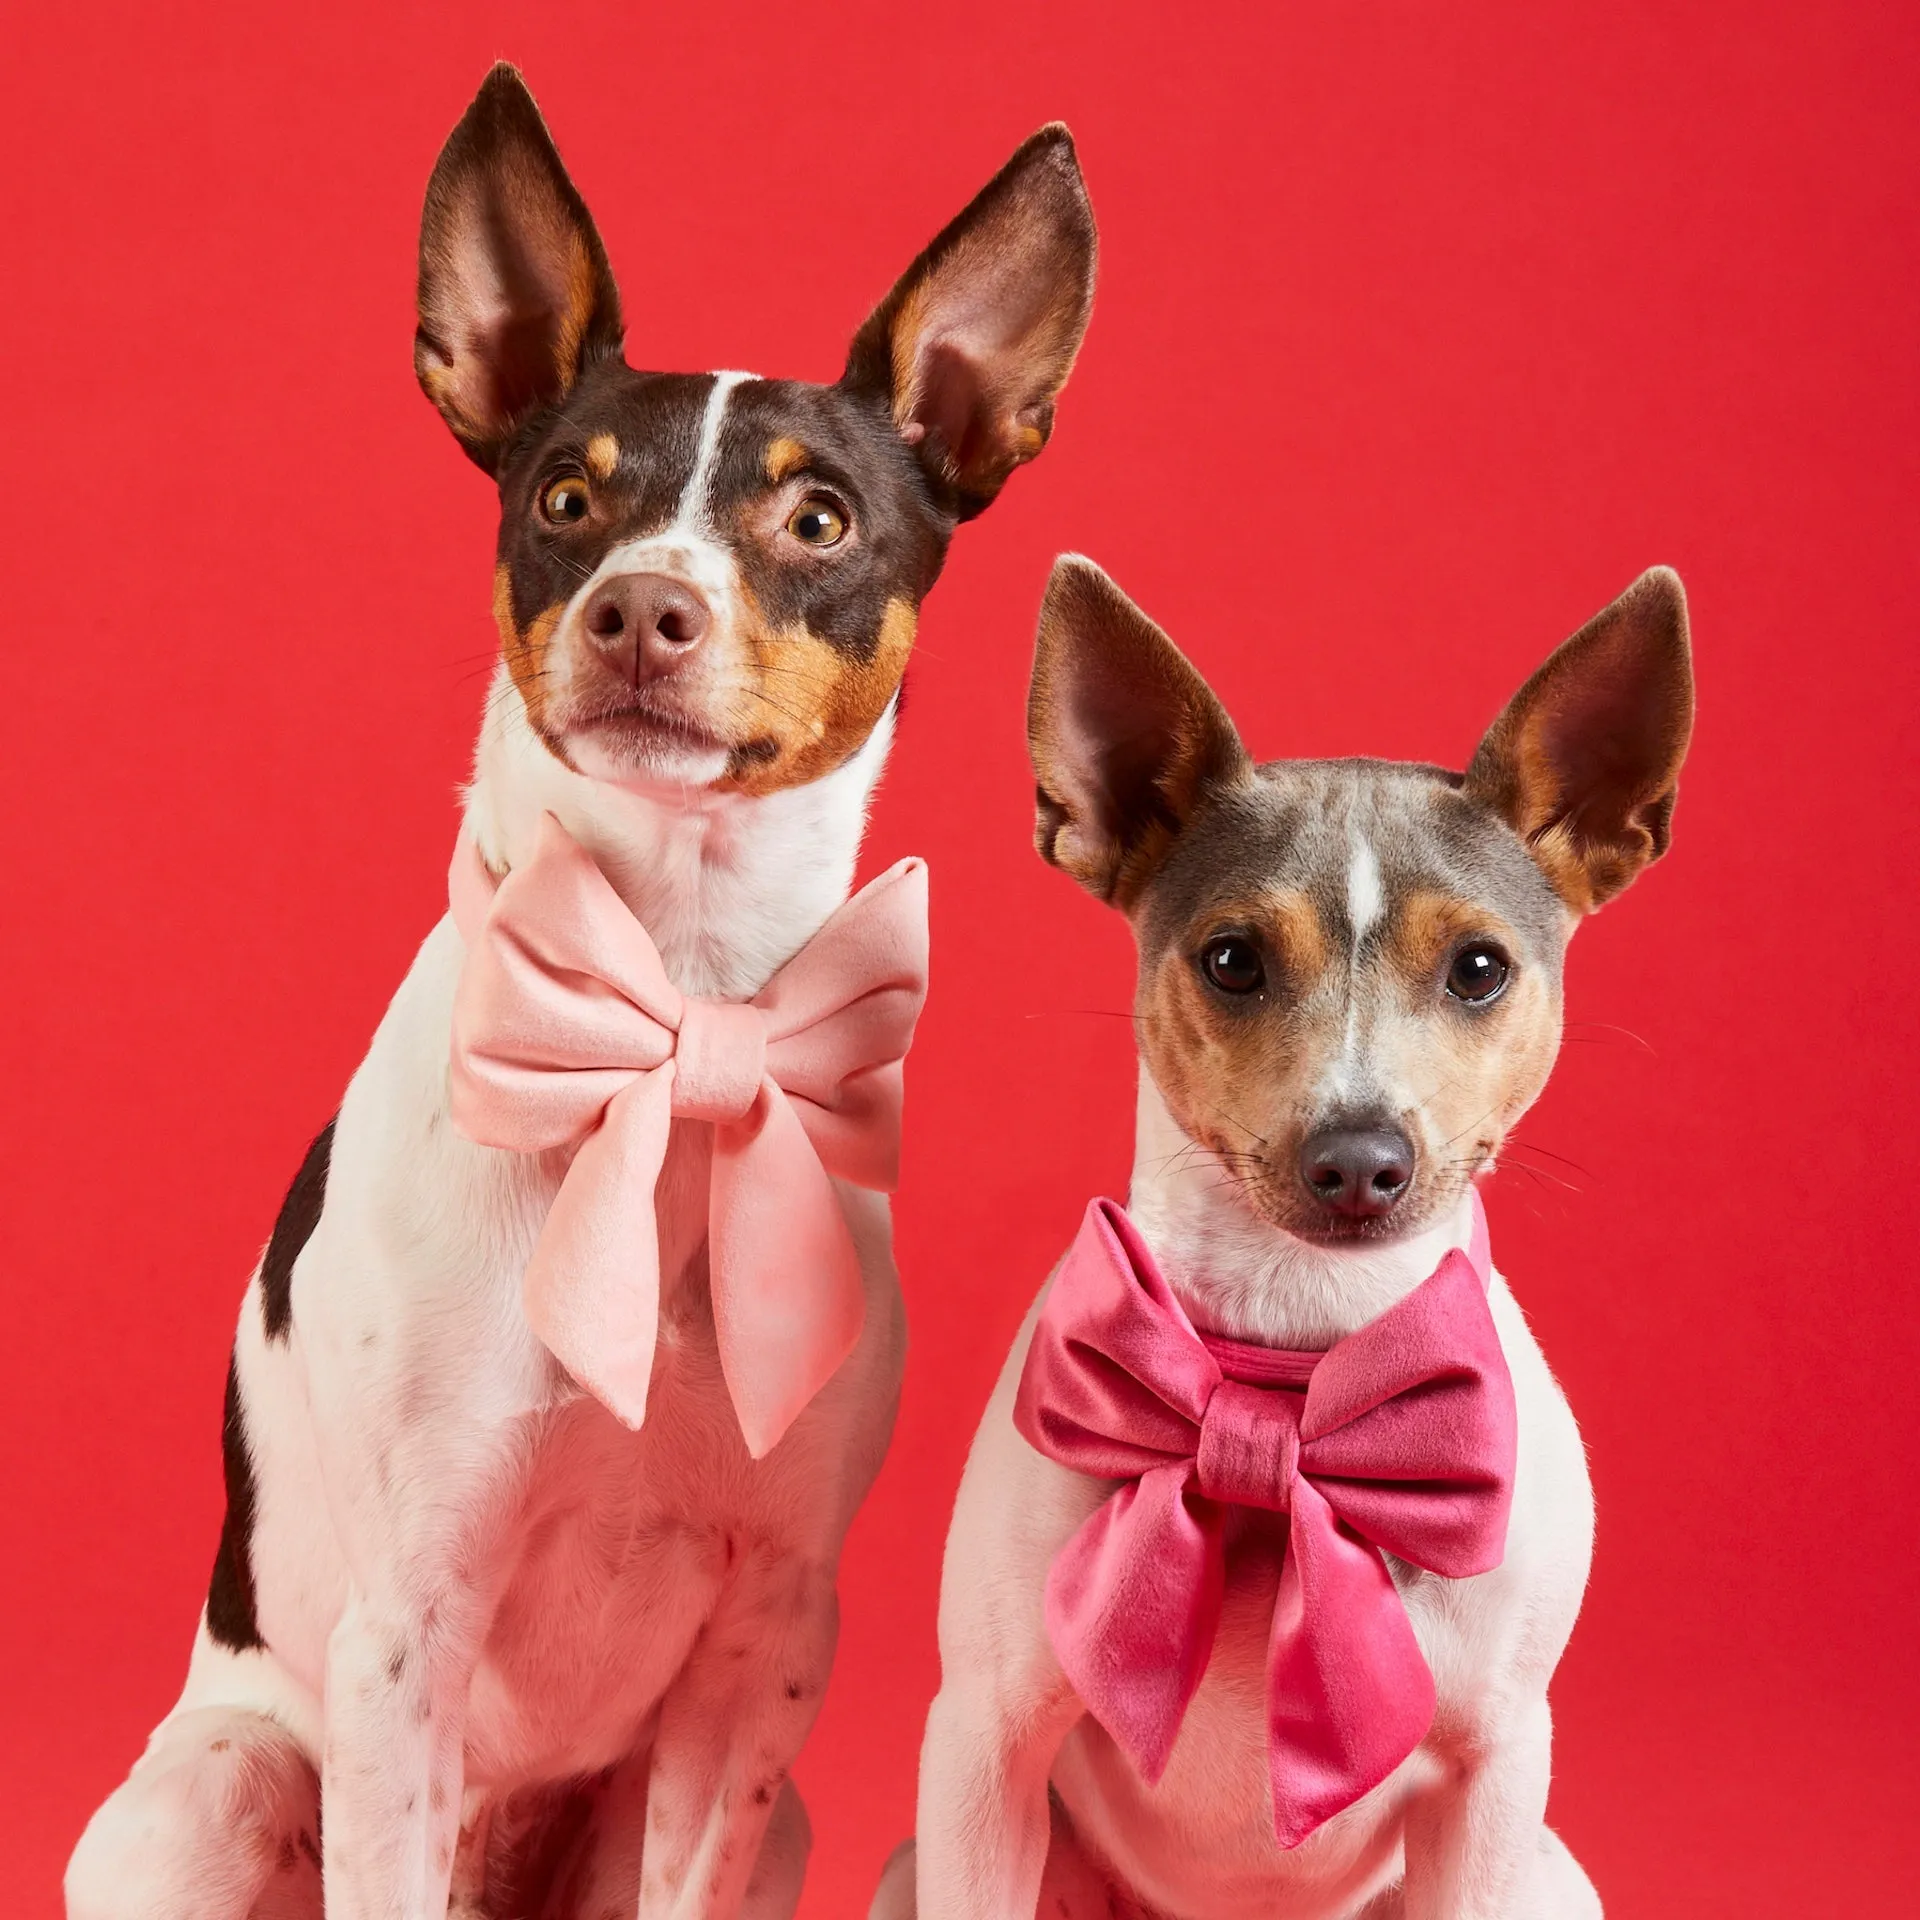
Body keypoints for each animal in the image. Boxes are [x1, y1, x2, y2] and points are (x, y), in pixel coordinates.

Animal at [67, 60, 1098, 1920]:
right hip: (221, 1782)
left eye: (818, 517)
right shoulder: (411, 1626)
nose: (642, 610)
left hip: (769, 1819)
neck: (673, 1020)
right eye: (565, 498)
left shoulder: (765, 1642)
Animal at [875, 556, 1697, 1920]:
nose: (1359, 1158)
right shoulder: (981, 1748)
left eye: (1480, 968)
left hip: (1549, 1877)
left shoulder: (1493, 1781)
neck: (1293, 1368)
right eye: (1230, 960)